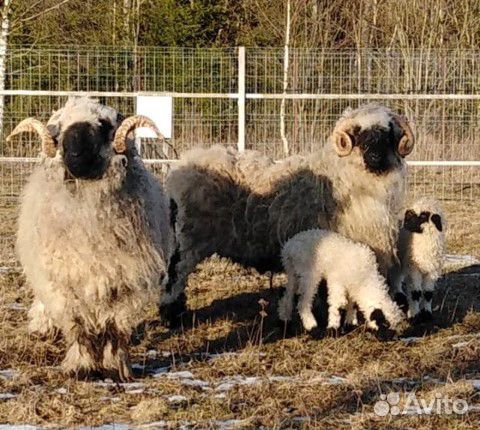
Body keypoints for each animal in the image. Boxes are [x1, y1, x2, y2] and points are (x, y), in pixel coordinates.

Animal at [9, 97, 174, 380]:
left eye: (104, 124)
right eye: (59, 128)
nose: (74, 155)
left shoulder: (125, 284)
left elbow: (115, 329)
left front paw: (115, 367)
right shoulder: (65, 283)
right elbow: (79, 328)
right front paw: (81, 367)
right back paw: (42, 328)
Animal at [163, 104, 414, 326]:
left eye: (388, 132)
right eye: (358, 134)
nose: (375, 157)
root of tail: (179, 169)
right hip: (191, 238)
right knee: (175, 274)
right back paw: (171, 316)